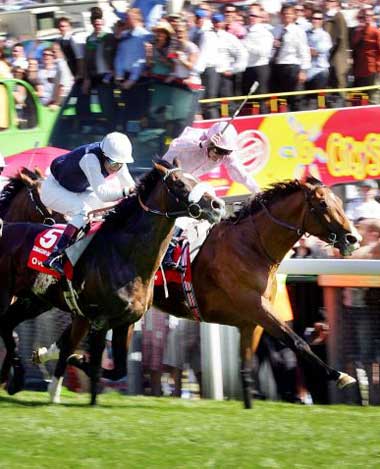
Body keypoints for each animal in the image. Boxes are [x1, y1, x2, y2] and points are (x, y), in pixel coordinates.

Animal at [0, 160, 226, 402]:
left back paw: (18, 378)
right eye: (180, 183)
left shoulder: (124, 322)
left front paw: (66, 365)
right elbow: (90, 358)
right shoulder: (99, 318)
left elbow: (116, 368)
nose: (218, 205)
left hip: (35, 300)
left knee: (8, 324)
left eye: (195, 178)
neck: (126, 255)